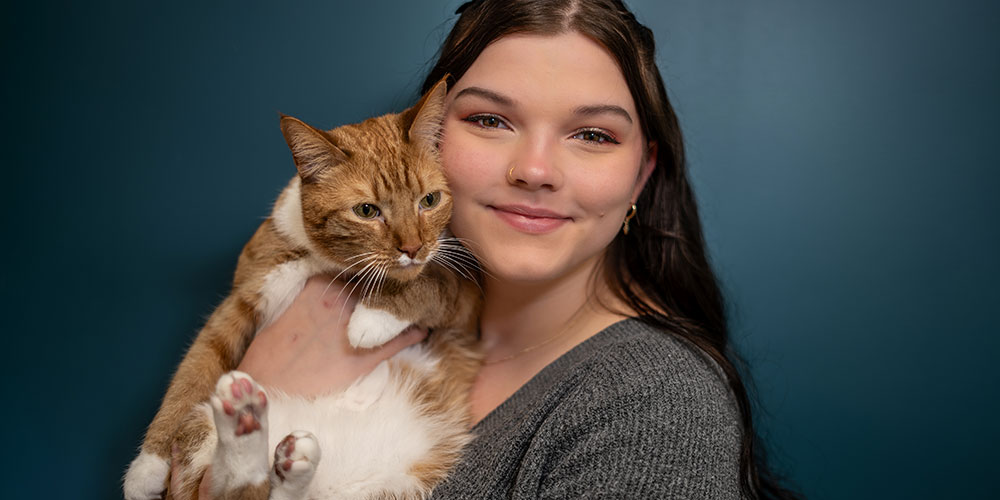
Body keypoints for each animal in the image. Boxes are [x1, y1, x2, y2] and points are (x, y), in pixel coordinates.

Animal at [123, 79, 482, 500]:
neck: (328, 263)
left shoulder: (468, 300)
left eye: (429, 200)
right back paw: (246, 422)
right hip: (206, 430)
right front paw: (148, 466)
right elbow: (193, 371)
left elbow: (430, 283)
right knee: (239, 485)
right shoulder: (248, 292)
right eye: (366, 211)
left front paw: (371, 319)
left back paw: (280, 450)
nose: (413, 248)